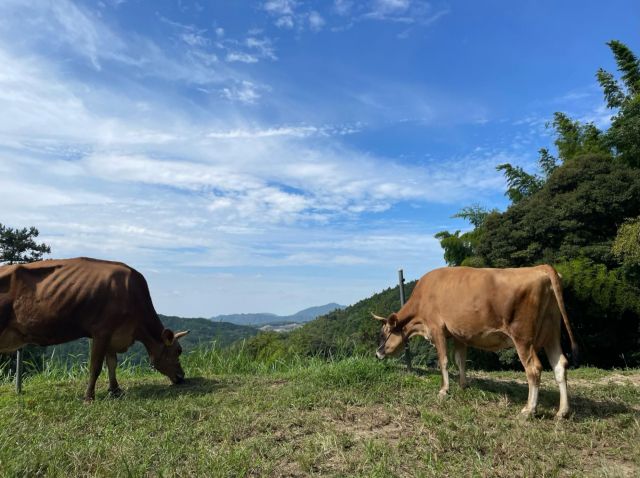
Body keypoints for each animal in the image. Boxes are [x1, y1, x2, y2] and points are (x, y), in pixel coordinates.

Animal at [0, 258, 190, 400]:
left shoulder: (113, 334)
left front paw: (115, 390)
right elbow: (96, 366)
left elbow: (112, 363)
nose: (182, 377)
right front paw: (89, 397)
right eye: (178, 351)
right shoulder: (101, 332)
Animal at [376, 266, 580, 418]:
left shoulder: (437, 329)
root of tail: (541, 268)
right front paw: (463, 385)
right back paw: (562, 412)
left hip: (522, 336)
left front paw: (444, 390)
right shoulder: (458, 334)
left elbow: (444, 361)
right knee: (560, 365)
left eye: (384, 333)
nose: (377, 353)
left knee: (534, 368)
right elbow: (460, 360)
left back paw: (529, 409)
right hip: (552, 333)